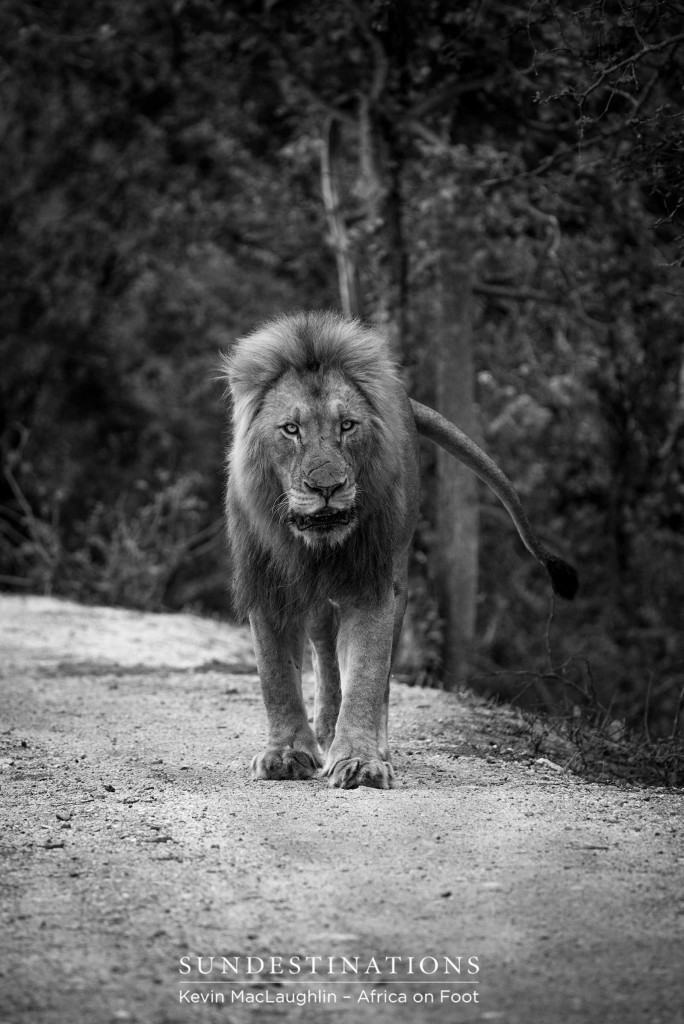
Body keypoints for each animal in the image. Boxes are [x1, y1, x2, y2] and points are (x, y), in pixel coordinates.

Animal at [224, 311, 577, 790]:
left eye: (347, 426)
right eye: (291, 429)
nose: (327, 487)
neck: (315, 544)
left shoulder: (374, 584)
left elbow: (368, 675)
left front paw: (359, 760)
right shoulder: (267, 585)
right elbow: (276, 677)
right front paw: (287, 753)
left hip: (401, 581)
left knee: (376, 672)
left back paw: (365, 741)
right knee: (325, 655)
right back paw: (324, 730)